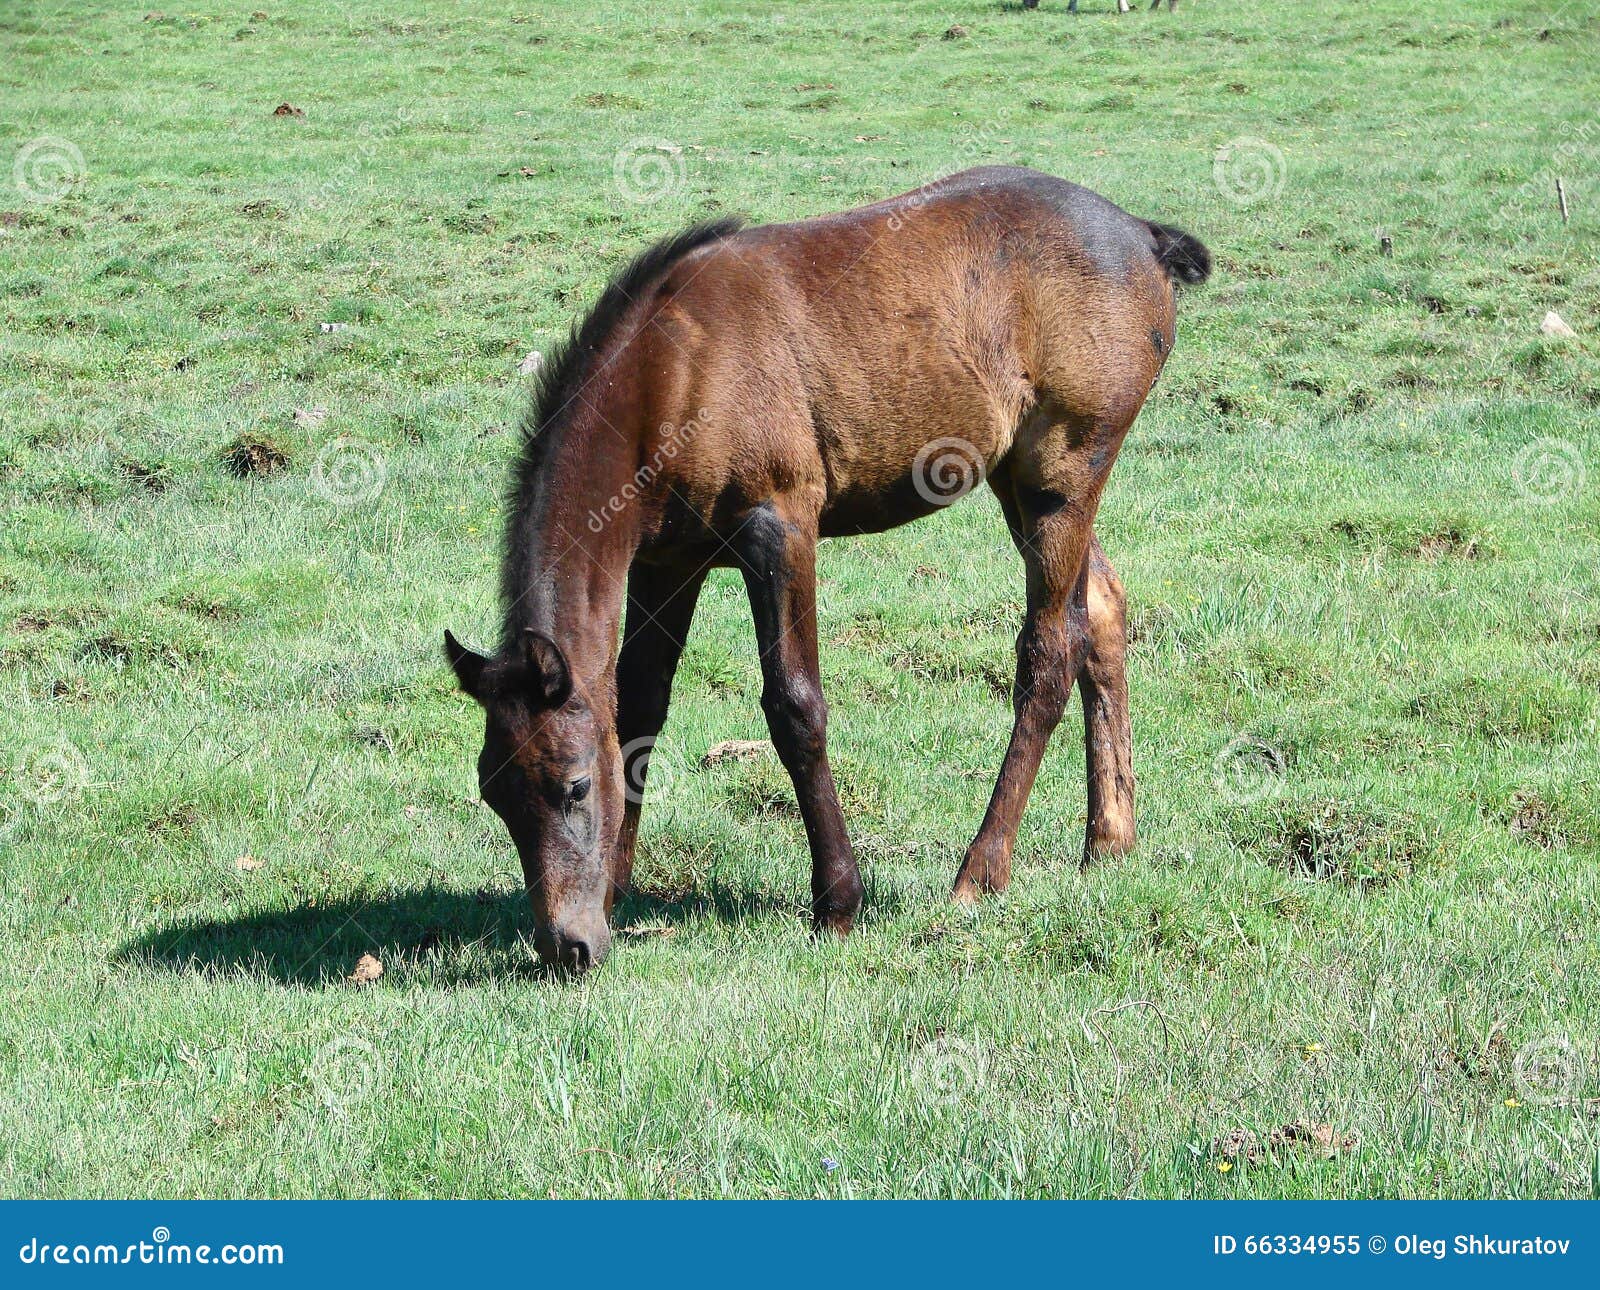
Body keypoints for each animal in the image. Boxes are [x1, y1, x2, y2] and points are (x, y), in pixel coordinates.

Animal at [446, 165, 1210, 972]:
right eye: (495, 795)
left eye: (573, 787)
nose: (567, 947)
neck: (674, 373)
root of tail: (1143, 234)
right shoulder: (666, 562)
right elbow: (639, 707)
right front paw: (618, 892)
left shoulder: (780, 529)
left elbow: (796, 708)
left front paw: (837, 902)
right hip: (1019, 483)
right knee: (1102, 613)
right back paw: (1109, 841)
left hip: (1060, 478)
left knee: (1048, 654)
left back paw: (980, 871)